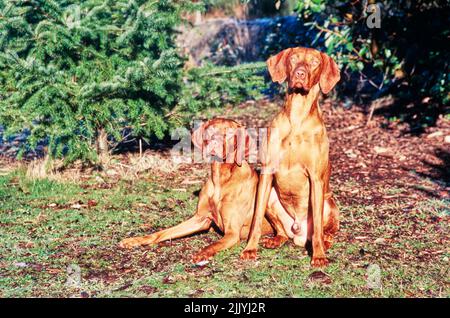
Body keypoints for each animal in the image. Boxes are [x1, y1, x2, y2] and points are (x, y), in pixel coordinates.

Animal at [243, 46, 342, 266]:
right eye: (294, 59)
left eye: (314, 62)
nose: (300, 73)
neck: (297, 117)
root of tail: (299, 232)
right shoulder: (267, 173)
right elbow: (255, 219)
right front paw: (250, 248)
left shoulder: (316, 178)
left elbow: (318, 230)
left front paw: (319, 256)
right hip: (271, 197)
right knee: (282, 231)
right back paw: (276, 239)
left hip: (328, 203)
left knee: (327, 232)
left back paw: (326, 243)